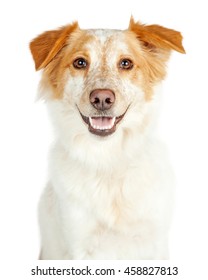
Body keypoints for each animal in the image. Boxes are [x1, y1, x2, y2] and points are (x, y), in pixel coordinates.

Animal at [29, 17, 185, 258]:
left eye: (126, 63)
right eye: (80, 62)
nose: (102, 98)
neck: (109, 159)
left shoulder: (154, 243)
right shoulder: (79, 244)